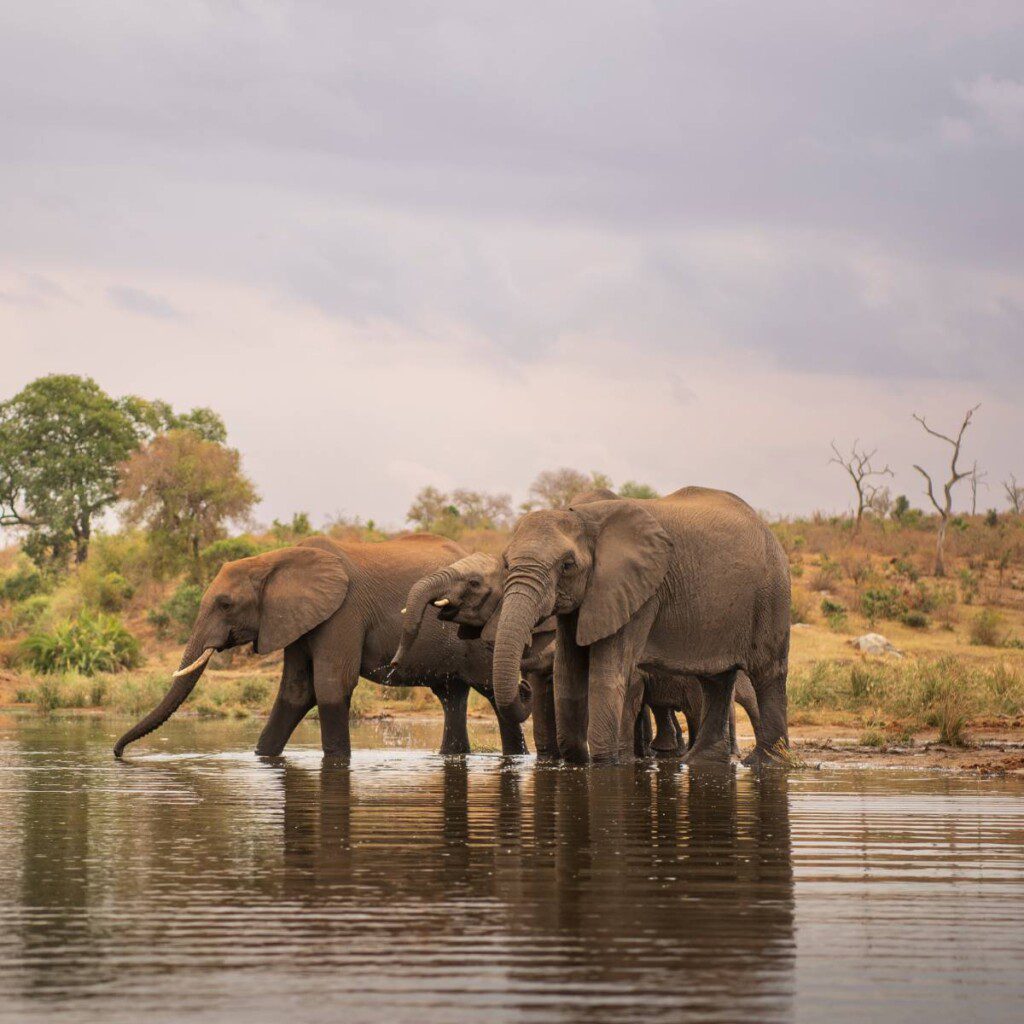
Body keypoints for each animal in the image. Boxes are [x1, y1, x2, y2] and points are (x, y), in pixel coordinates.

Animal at [113, 532, 532, 757]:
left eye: (226, 604)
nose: (117, 753)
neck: (277, 558)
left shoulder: (341, 613)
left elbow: (331, 687)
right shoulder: (296, 620)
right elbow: (296, 692)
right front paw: (262, 757)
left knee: (496, 694)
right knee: (451, 697)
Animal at [487, 487, 790, 770]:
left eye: (567, 565)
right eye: (506, 563)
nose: (524, 686)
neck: (584, 516)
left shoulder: (637, 592)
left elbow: (607, 675)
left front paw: (606, 765)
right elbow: (567, 673)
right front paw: (578, 763)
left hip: (770, 593)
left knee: (766, 671)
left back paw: (766, 762)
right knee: (715, 680)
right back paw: (701, 762)